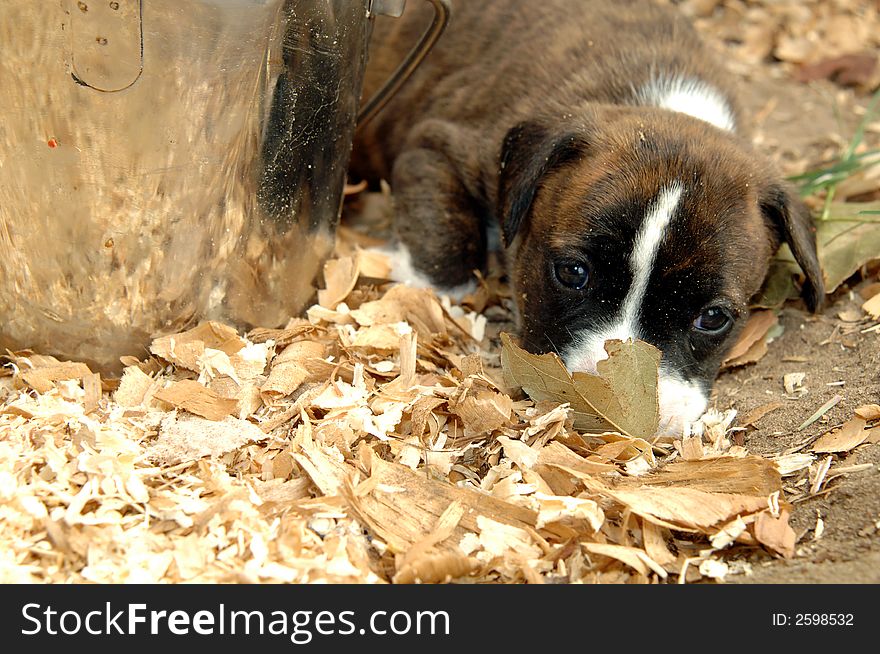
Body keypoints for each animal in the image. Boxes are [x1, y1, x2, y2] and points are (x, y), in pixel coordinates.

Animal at [348, 0, 820, 436]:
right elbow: (447, 246)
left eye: (714, 318)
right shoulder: (436, 148)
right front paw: (422, 293)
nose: (613, 407)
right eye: (573, 273)